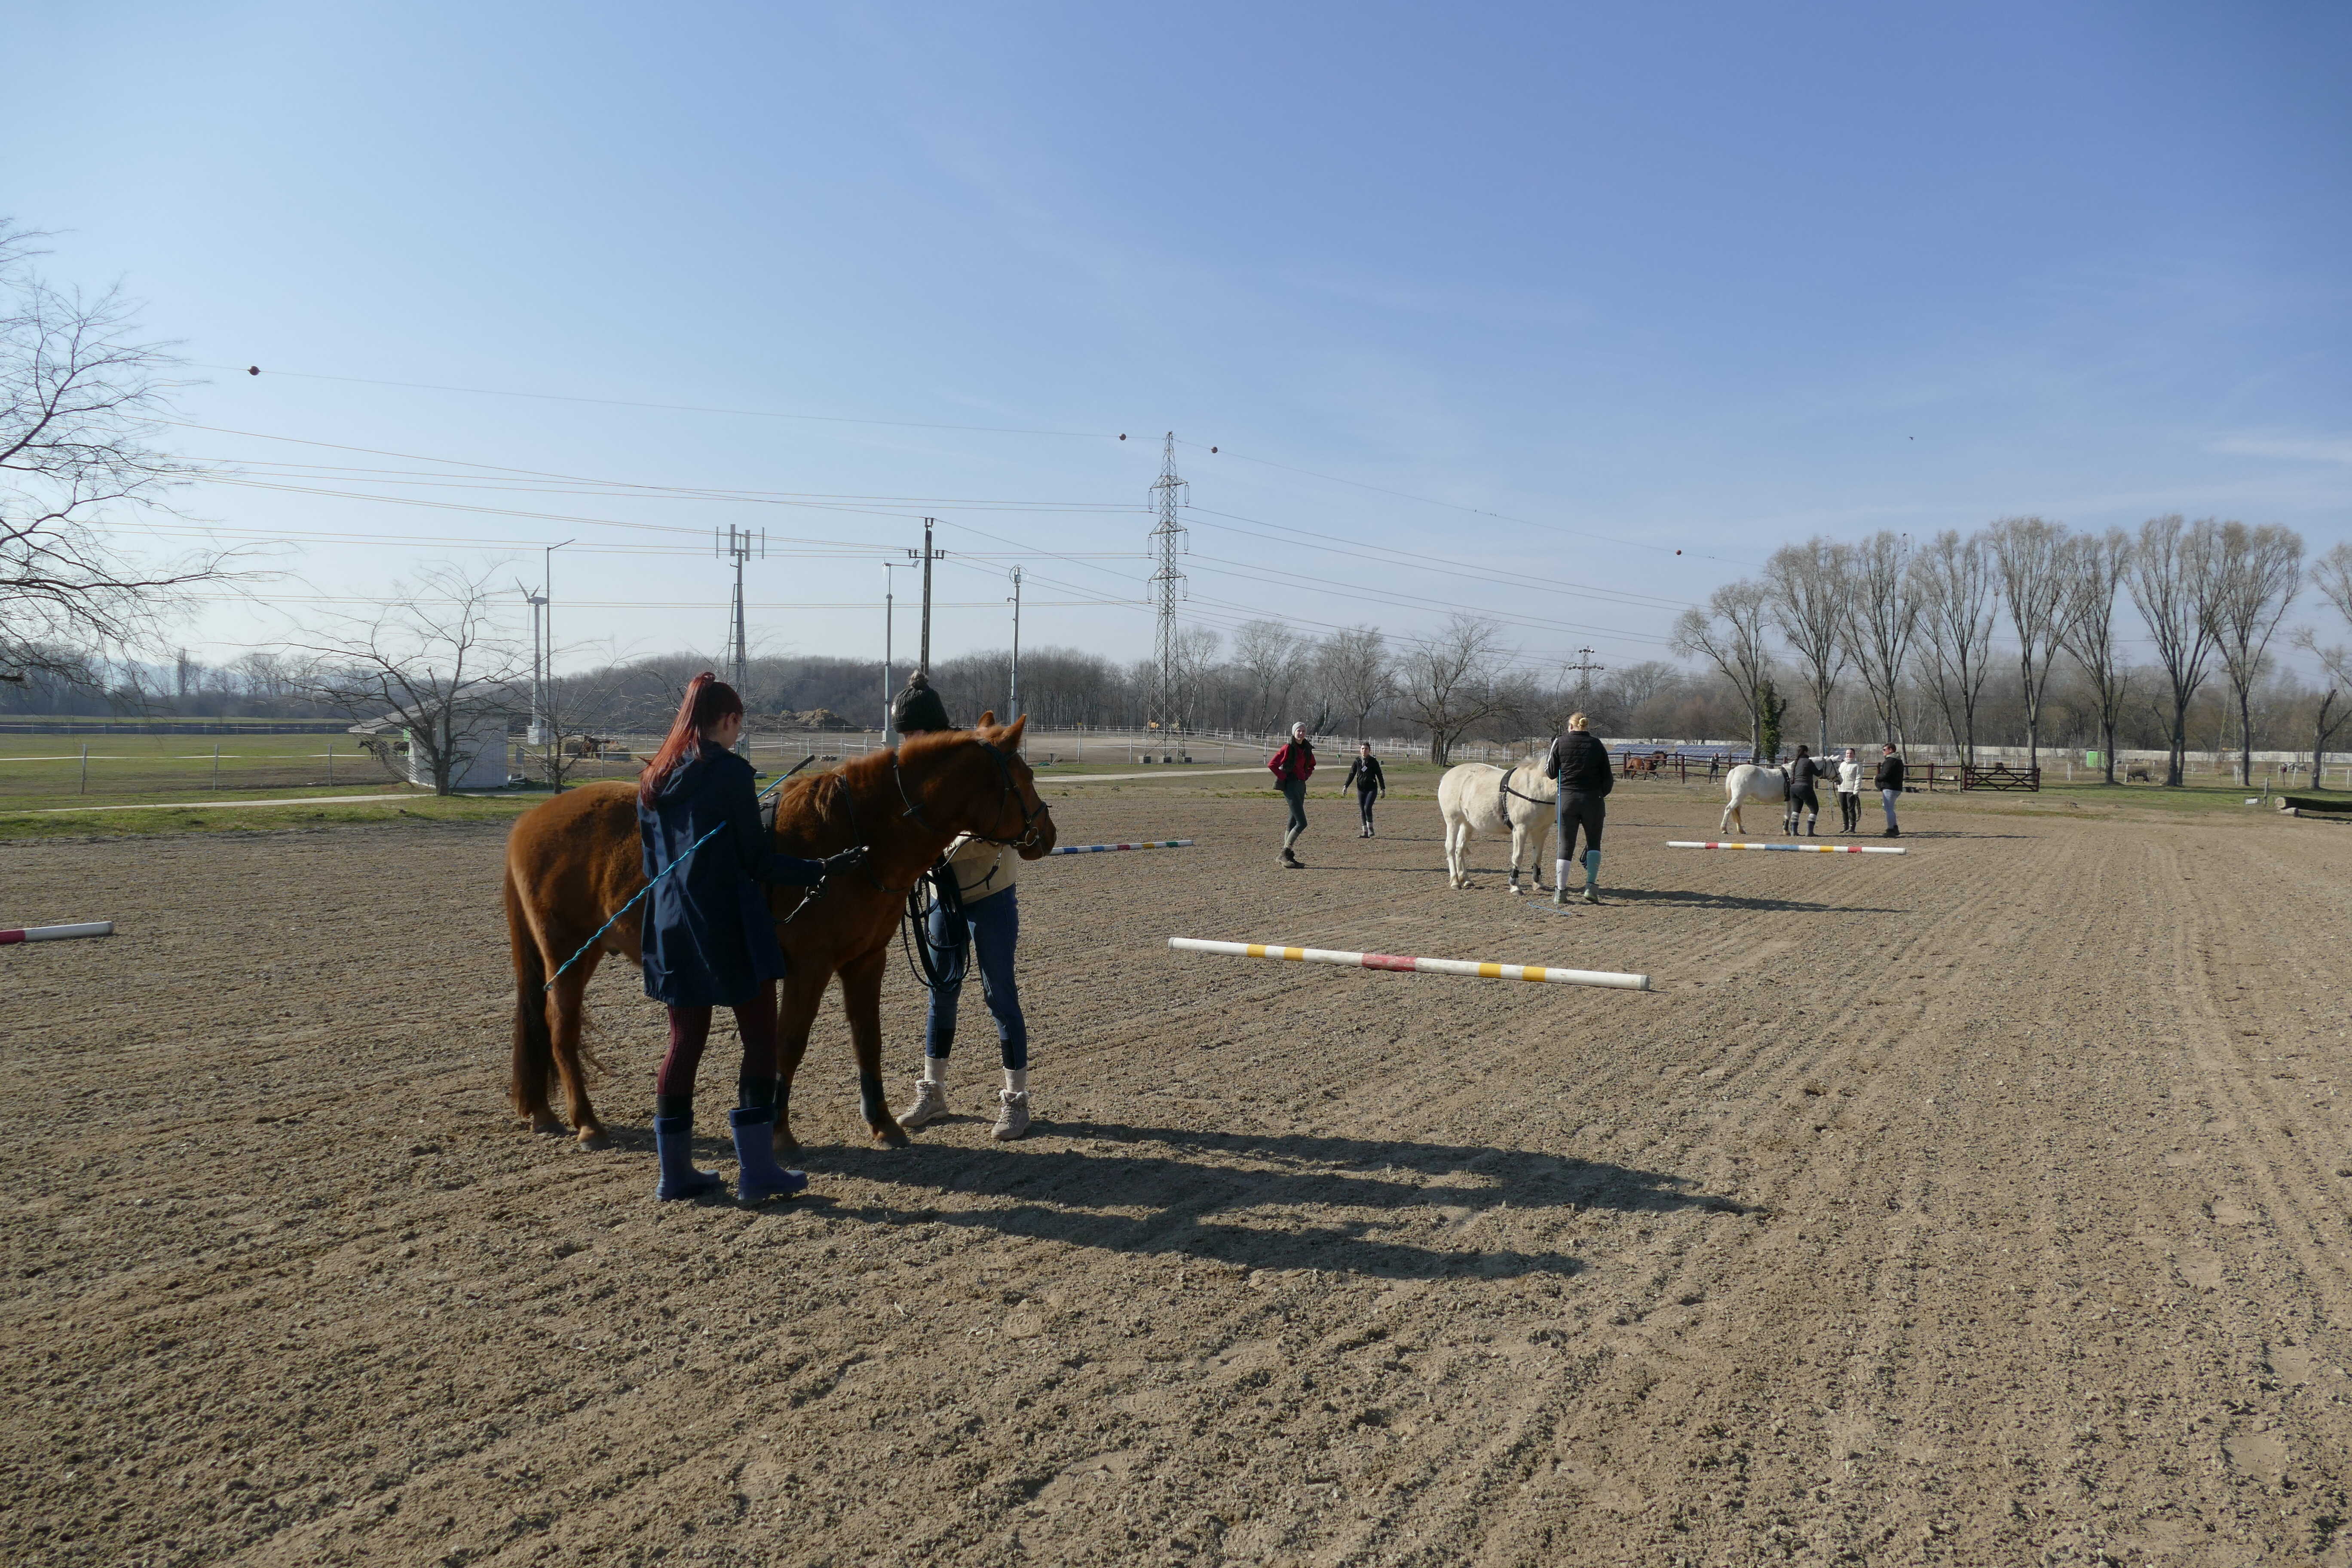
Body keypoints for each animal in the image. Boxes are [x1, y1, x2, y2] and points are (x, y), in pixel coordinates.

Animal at [502, 714, 1056, 1151]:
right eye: (1024, 775)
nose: (1047, 836)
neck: (856, 837)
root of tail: (528, 822)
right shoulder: (809, 967)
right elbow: (790, 1042)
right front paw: (779, 1132)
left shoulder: (865, 961)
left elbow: (868, 1039)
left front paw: (881, 1124)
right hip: (569, 954)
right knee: (561, 1030)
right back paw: (587, 1123)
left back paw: (548, 1113)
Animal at [1438, 760, 1557, 893]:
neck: (1537, 787)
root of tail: (1447, 776)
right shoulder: (1520, 829)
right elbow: (1518, 857)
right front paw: (1515, 887)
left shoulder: (1541, 831)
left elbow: (1538, 857)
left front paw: (1539, 885)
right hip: (1453, 821)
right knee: (1450, 847)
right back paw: (1455, 882)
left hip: (1467, 824)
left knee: (1460, 848)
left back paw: (1466, 880)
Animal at [1719, 762, 1789, 835]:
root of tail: (1734, 770)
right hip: (1738, 798)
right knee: (1729, 809)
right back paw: (1724, 829)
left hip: (1740, 799)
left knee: (1737, 813)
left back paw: (1741, 830)